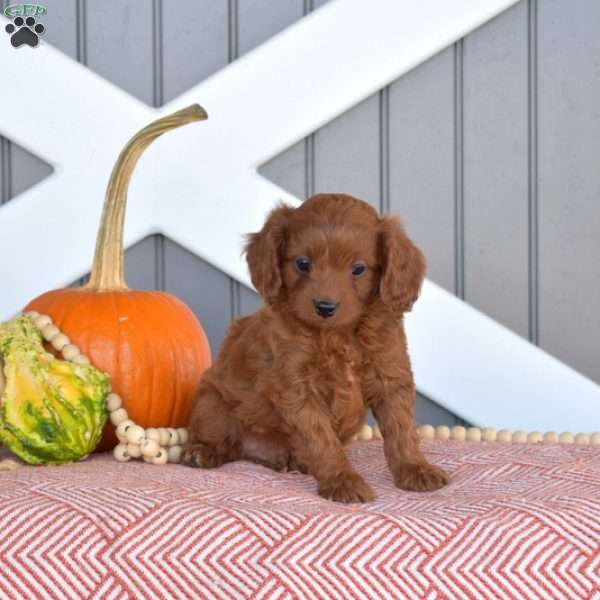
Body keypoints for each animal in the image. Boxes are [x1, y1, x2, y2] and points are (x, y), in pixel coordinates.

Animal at [183, 193, 450, 502]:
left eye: (358, 269)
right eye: (302, 263)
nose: (325, 306)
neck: (338, 335)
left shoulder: (391, 376)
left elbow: (402, 429)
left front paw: (416, 469)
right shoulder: (299, 389)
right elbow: (321, 438)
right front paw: (342, 480)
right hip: (211, 403)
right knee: (224, 441)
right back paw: (202, 452)